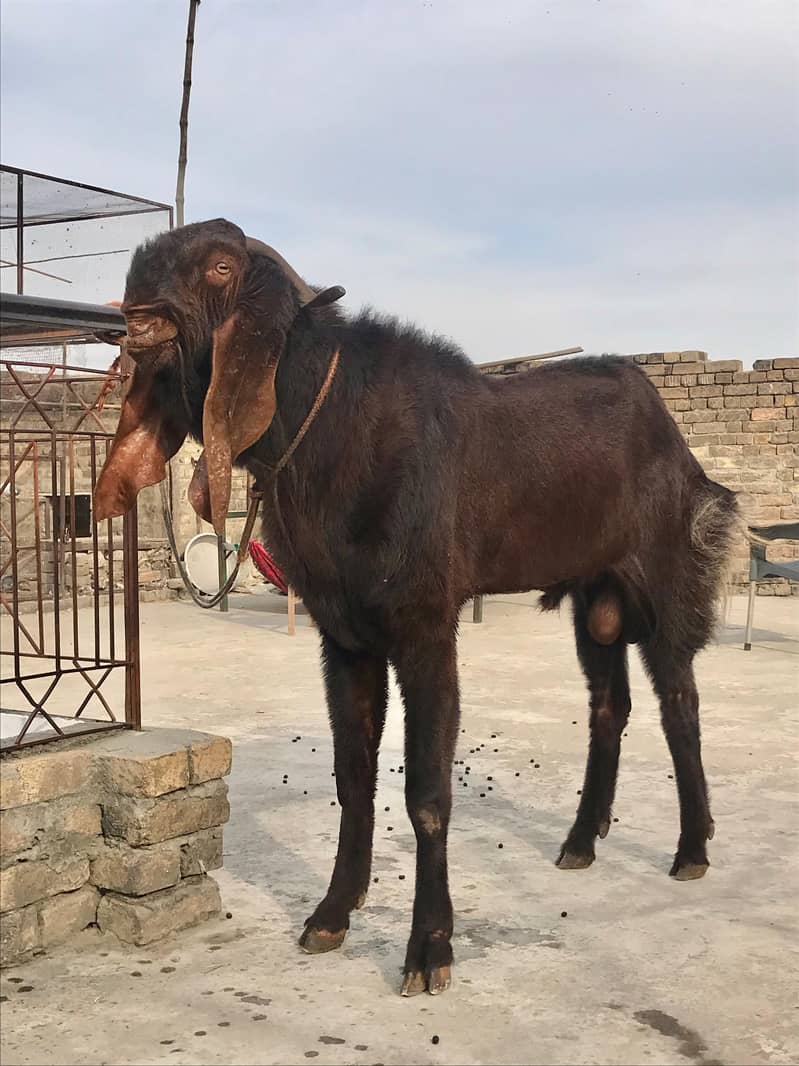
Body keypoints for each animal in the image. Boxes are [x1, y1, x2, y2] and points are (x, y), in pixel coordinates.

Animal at [95, 219, 738, 996]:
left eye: (219, 267)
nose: (137, 311)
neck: (333, 430)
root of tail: (677, 444)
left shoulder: (426, 624)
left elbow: (427, 791)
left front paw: (429, 947)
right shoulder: (343, 634)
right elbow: (352, 776)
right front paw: (331, 914)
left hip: (666, 580)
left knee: (681, 703)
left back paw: (691, 848)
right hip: (597, 600)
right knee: (609, 705)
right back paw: (581, 841)